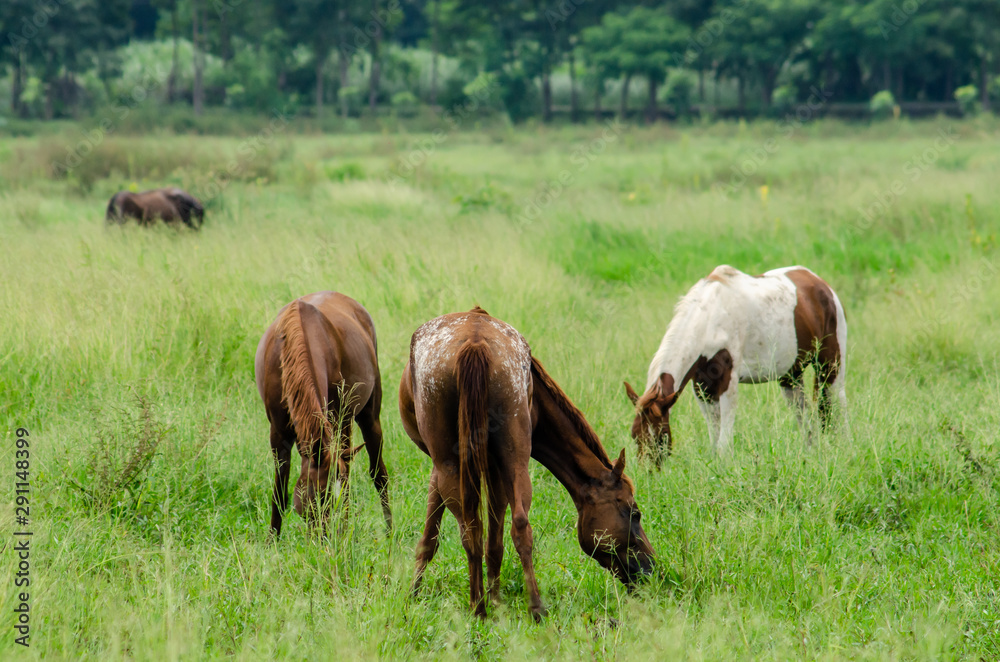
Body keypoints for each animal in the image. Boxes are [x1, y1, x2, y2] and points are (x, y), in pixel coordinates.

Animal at [254, 291, 391, 537]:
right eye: (318, 496)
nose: (326, 538)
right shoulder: (278, 434)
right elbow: (279, 493)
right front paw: (272, 540)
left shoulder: (336, 421)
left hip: (364, 418)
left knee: (378, 474)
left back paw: (385, 532)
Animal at [399, 306, 654, 620]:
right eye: (635, 514)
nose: (651, 568)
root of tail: (475, 342)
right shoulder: (491, 467)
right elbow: (474, 540)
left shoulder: (465, 469)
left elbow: (443, 537)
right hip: (511, 460)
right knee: (516, 526)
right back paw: (526, 607)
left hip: (457, 464)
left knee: (475, 530)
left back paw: (482, 606)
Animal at [625, 265, 847, 461]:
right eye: (635, 435)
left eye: (659, 436)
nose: (649, 472)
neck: (710, 318)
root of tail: (822, 285)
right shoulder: (702, 387)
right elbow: (714, 435)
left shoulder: (727, 384)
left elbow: (724, 439)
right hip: (791, 376)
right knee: (805, 416)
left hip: (830, 367)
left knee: (836, 406)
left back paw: (840, 448)